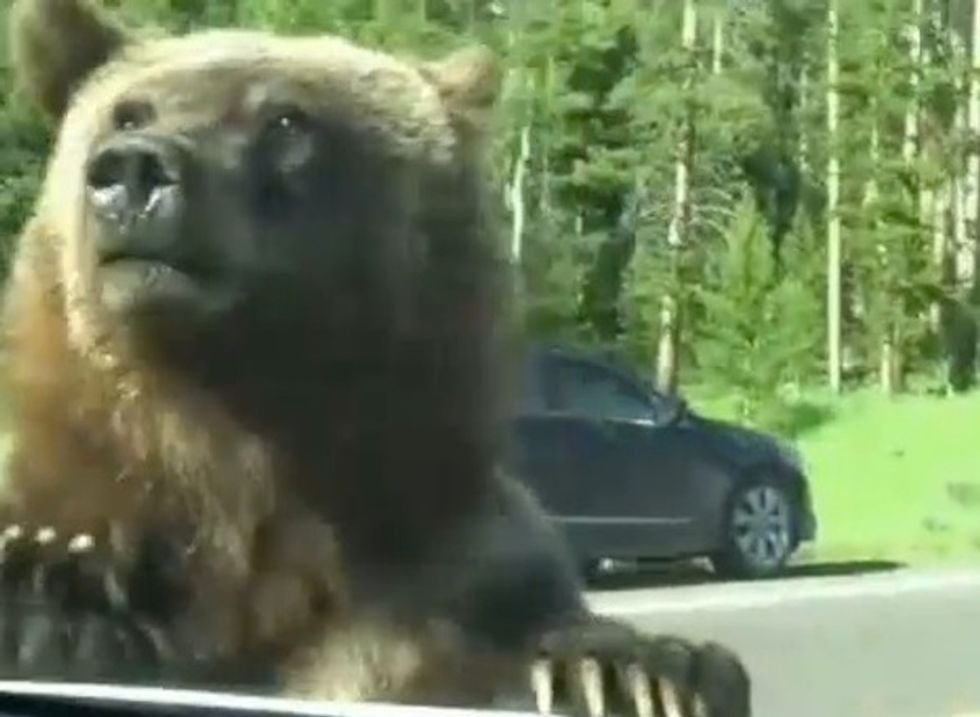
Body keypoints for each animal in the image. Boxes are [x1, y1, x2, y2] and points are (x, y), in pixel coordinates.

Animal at [0, 1, 751, 715]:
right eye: (127, 110)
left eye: (285, 118)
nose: (132, 168)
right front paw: (58, 591)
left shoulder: (454, 560)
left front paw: (635, 674)